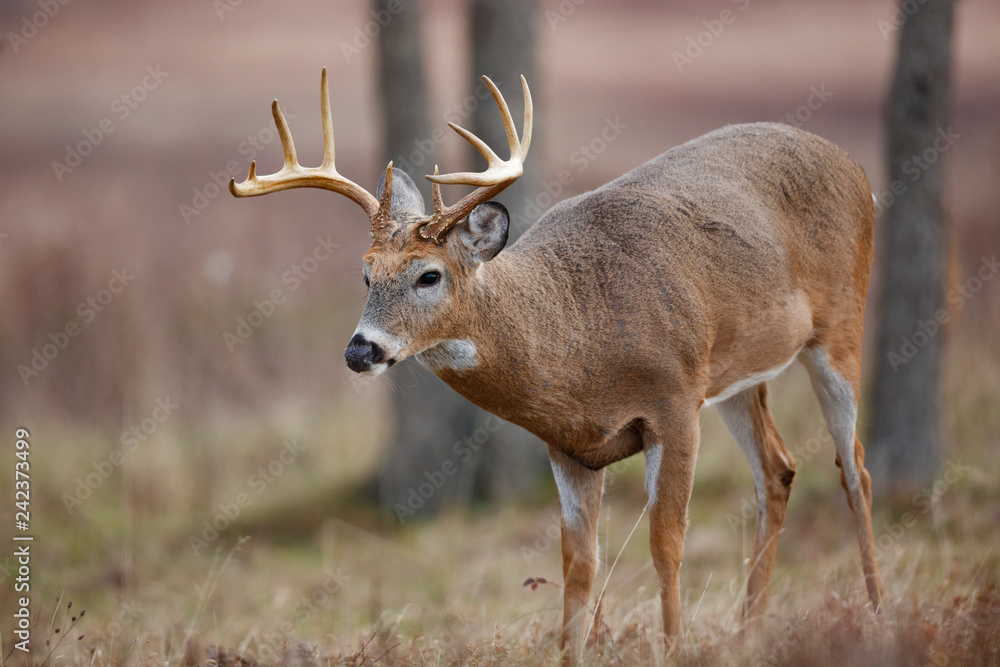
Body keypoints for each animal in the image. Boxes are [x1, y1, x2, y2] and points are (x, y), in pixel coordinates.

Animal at [230, 69, 884, 663]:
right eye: (366, 276)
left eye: (428, 275)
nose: (359, 351)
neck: (575, 340)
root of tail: (854, 168)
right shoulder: (569, 446)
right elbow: (577, 563)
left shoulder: (674, 402)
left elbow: (666, 541)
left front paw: (674, 648)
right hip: (736, 375)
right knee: (779, 470)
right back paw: (750, 633)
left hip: (840, 325)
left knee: (854, 467)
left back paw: (876, 613)